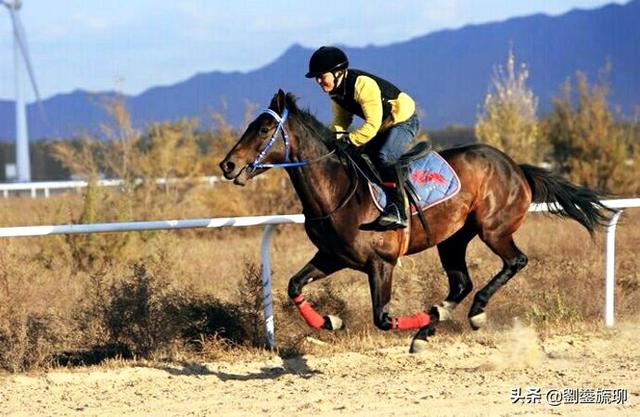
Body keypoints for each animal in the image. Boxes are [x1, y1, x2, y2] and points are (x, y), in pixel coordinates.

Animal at [219, 90, 608, 352]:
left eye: (264, 128)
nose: (227, 165)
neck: (338, 189)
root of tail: (517, 168)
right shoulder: (333, 256)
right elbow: (294, 285)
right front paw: (329, 320)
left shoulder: (381, 263)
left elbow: (383, 318)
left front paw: (423, 318)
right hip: (452, 239)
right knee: (461, 283)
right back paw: (433, 325)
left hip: (493, 229)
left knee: (515, 261)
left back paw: (472, 313)